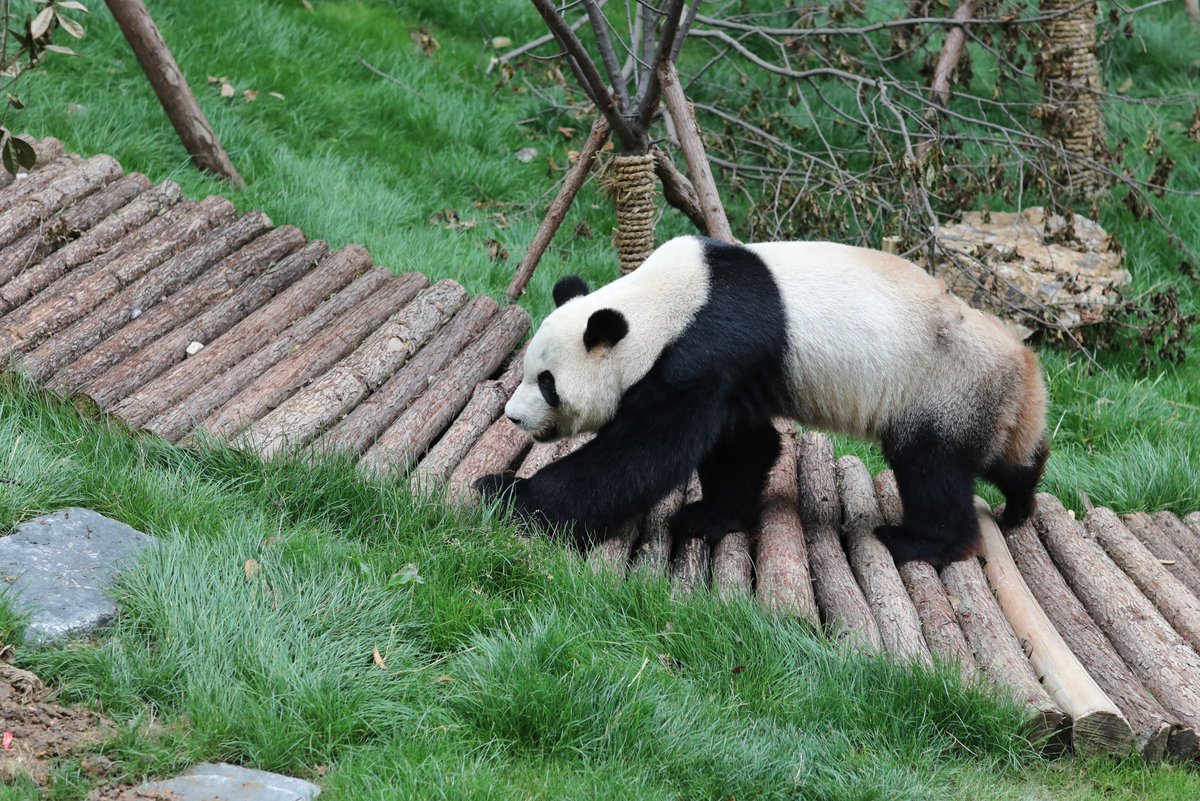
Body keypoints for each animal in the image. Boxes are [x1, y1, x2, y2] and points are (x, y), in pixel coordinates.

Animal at [477, 235, 1049, 568]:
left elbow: (643, 454)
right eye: (527, 372)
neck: (666, 301)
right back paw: (1021, 498)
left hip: (940, 384)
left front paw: (506, 494)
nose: (514, 416)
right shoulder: (734, 370)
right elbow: (742, 447)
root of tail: (1024, 367)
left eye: (548, 383)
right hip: (976, 400)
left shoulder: (708, 345)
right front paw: (711, 516)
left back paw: (921, 542)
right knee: (997, 456)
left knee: (931, 468)